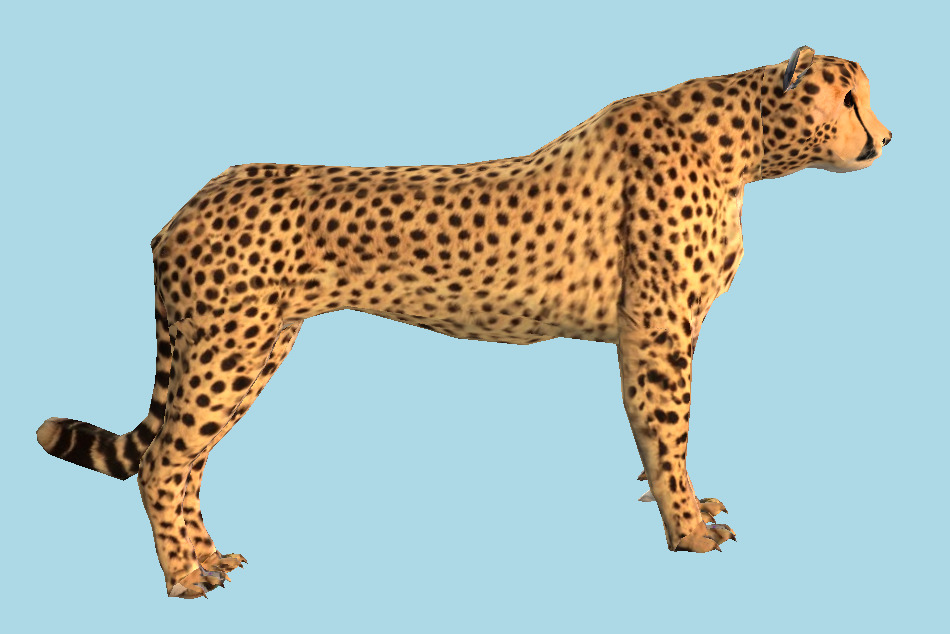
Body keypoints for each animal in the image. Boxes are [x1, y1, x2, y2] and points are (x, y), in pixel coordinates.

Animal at [37, 45, 891, 598]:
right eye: (850, 98)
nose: (885, 139)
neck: (746, 140)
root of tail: (194, 199)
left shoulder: (640, 335)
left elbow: (651, 439)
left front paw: (676, 506)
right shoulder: (659, 331)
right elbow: (669, 429)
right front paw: (687, 533)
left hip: (251, 345)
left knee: (187, 461)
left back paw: (209, 559)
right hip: (231, 350)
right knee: (165, 461)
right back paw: (183, 577)